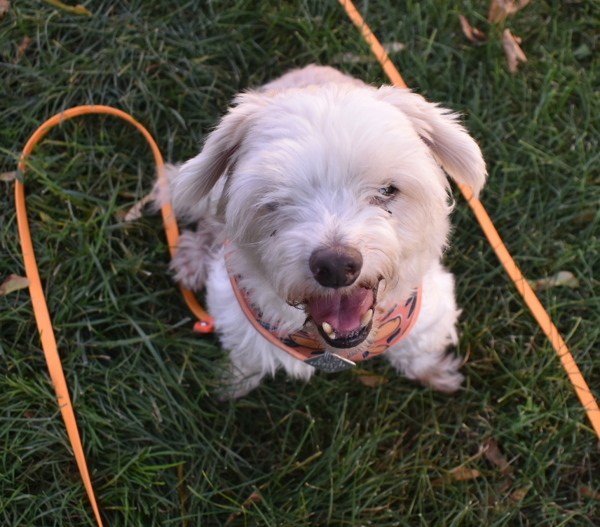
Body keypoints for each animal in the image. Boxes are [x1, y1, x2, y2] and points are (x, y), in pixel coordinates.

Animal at [165, 65, 488, 396]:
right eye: (274, 201)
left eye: (387, 190)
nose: (335, 266)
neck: (334, 350)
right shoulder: (234, 309)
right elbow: (247, 358)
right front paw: (231, 385)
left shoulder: (429, 307)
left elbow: (418, 349)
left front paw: (436, 374)